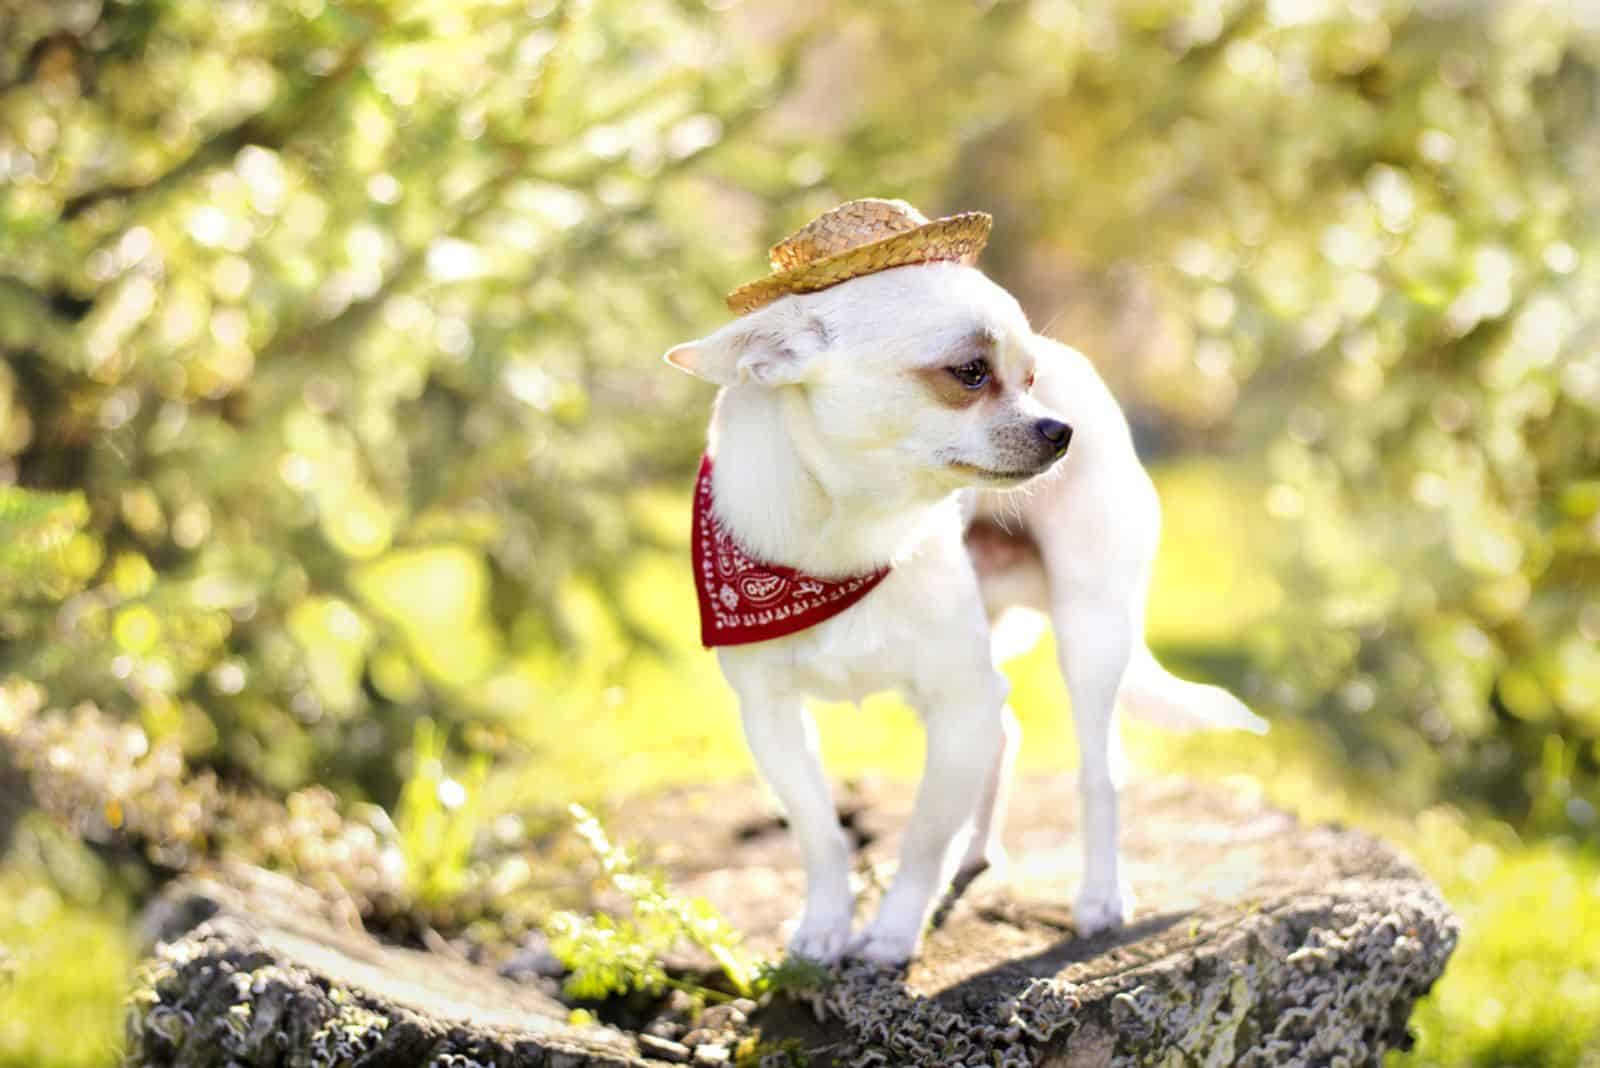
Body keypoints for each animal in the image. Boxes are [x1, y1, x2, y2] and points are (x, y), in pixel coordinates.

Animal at [662, 199, 1260, 965]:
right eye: (971, 373)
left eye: (1029, 378)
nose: (1060, 429)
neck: (851, 535)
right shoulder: (772, 719)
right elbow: (821, 832)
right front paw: (825, 924)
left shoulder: (959, 705)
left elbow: (920, 836)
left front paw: (892, 932)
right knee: (1006, 734)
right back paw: (973, 857)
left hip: (1090, 629)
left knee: (1100, 768)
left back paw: (1100, 895)